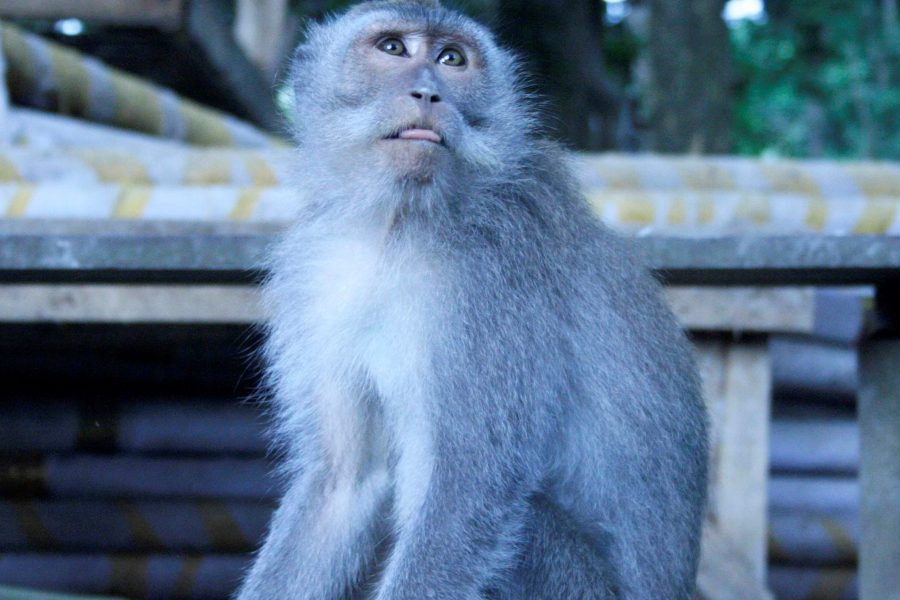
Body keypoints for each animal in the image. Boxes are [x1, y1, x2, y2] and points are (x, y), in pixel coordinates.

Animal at [236, 1, 708, 599]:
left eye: (451, 59)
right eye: (393, 48)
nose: (428, 92)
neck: (399, 226)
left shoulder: (494, 278)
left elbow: (470, 483)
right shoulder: (317, 277)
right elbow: (345, 481)